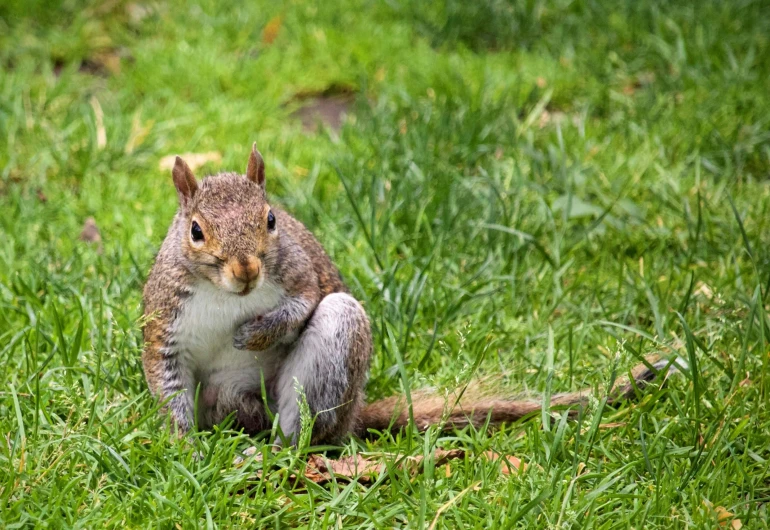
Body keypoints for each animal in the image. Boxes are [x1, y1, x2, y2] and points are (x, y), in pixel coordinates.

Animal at [141, 142, 680, 444]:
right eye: (195, 231)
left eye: (272, 220)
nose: (247, 272)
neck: (226, 296)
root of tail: (356, 412)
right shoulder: (164, 322)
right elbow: (166, 383)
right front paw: (184, 448)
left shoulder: (300, 273)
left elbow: (302, 303)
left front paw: (254, 333)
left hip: (333, 351)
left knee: (305, 431)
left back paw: (278, 454)